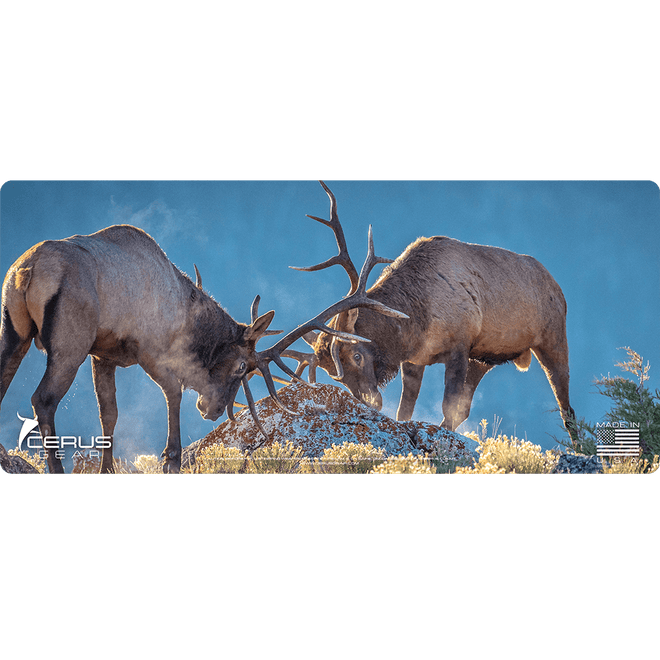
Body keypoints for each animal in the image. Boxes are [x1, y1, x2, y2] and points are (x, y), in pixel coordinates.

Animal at [0, 223, 406, 475]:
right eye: (242, 366)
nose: (210, 410)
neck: (187, 314)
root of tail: (26, 271)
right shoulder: (151, 350)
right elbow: (174, 396)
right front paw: (172, 461)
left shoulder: (104, 354)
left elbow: (109, 415)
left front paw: (107, 472)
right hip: (69, 341)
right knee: (43, 399)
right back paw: (55, 470)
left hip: (14, 332)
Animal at [292, 181, 579, 447]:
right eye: (333, 374)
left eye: (356, 355)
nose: (370, 403)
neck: (415, 322)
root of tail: (559, 289)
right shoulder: (415, 361)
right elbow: (406, 411)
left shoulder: (459, 347)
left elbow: (447, 407)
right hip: (482, 359)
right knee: (467, 408)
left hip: (552, 339)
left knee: (567, 409)